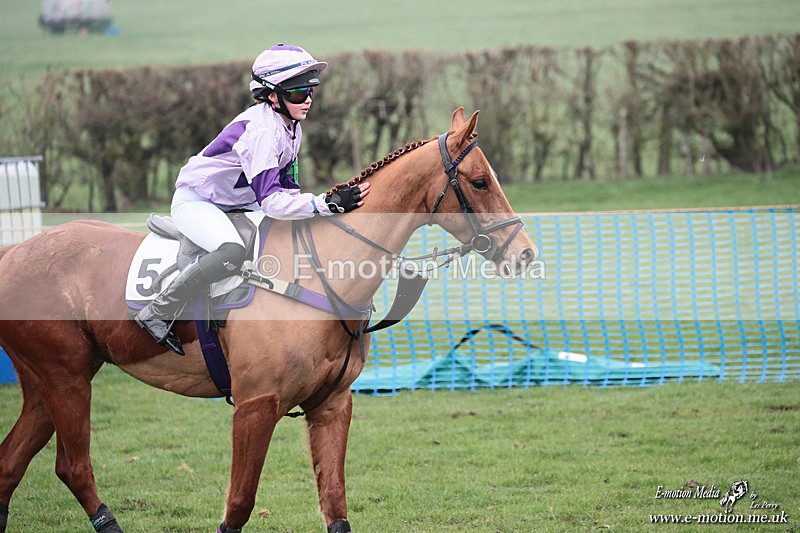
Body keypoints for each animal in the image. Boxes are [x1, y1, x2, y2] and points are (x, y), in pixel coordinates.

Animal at [0, 108, 537, 532]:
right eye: (480, 181)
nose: (526, 254)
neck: (321, 272)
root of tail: (14, 253)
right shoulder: (255, 407)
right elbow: (238, 506)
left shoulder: (331, 405)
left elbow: (335, 506)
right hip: (66, 377)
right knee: (73, 467)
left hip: (49, 382)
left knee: (11, 465)